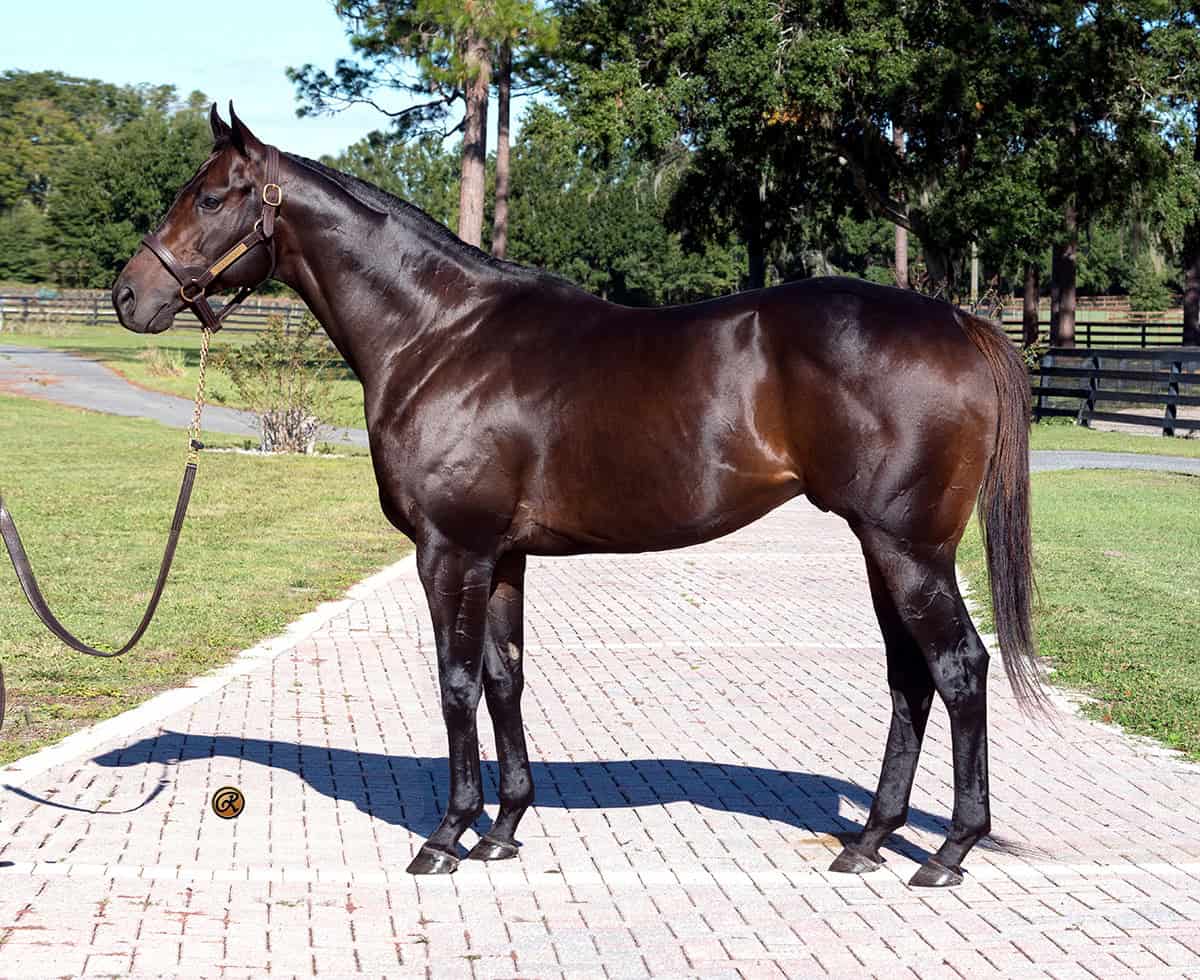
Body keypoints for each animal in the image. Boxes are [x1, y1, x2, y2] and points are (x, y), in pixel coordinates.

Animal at [111, 105, 1040, 887]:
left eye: (212, 196)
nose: (129, 295)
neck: (438, 335)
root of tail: (957, 322)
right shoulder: (503, 557)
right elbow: (504, 678)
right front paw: (502, 828)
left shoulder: (450, 550)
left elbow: (455, 682)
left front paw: (446, 836)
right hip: (885, 549)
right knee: (910, 678)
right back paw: (872, 840)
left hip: (907, 548)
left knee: (959, 668)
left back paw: (949, 852)